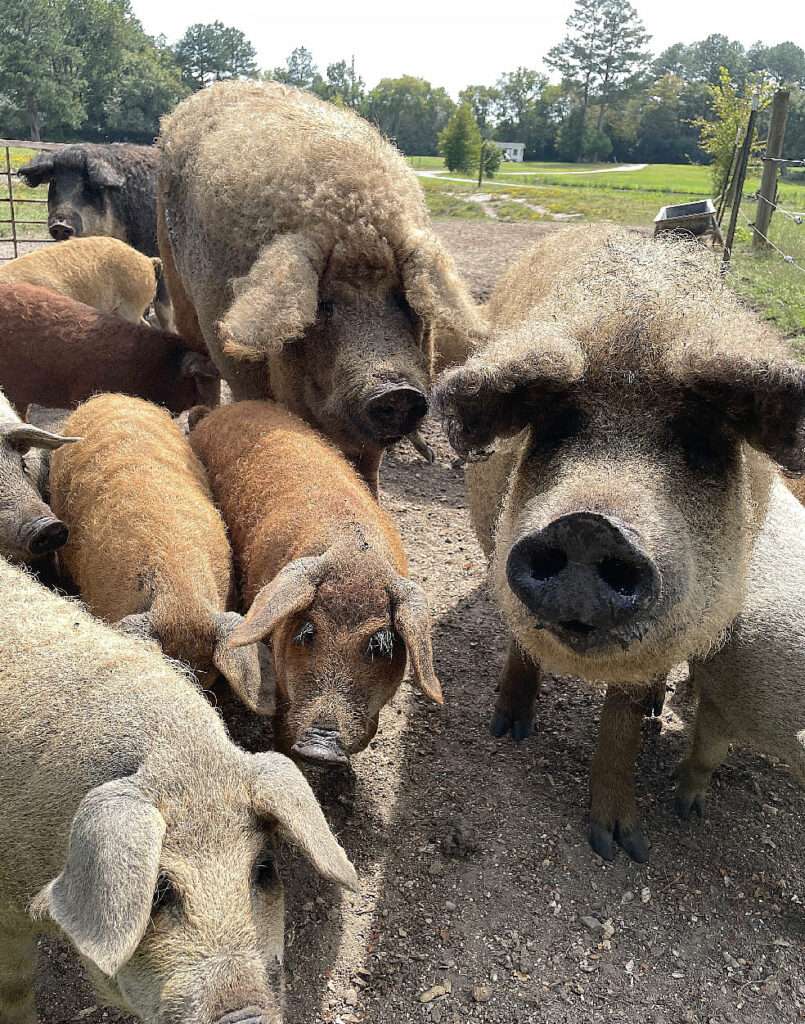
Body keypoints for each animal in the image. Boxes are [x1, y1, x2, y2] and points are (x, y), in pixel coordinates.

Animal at [156, 80, 483, 491]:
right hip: (175, 275)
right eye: (324, 305)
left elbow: (369, 464)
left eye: (404, 301)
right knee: (202, 362)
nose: (398, 392)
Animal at [436, 226, 802, 864]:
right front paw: (507, 731)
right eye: (555, 430)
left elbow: (623, 719)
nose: (588, 525)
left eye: (700, 444)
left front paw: (621, 847)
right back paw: (511, 726)